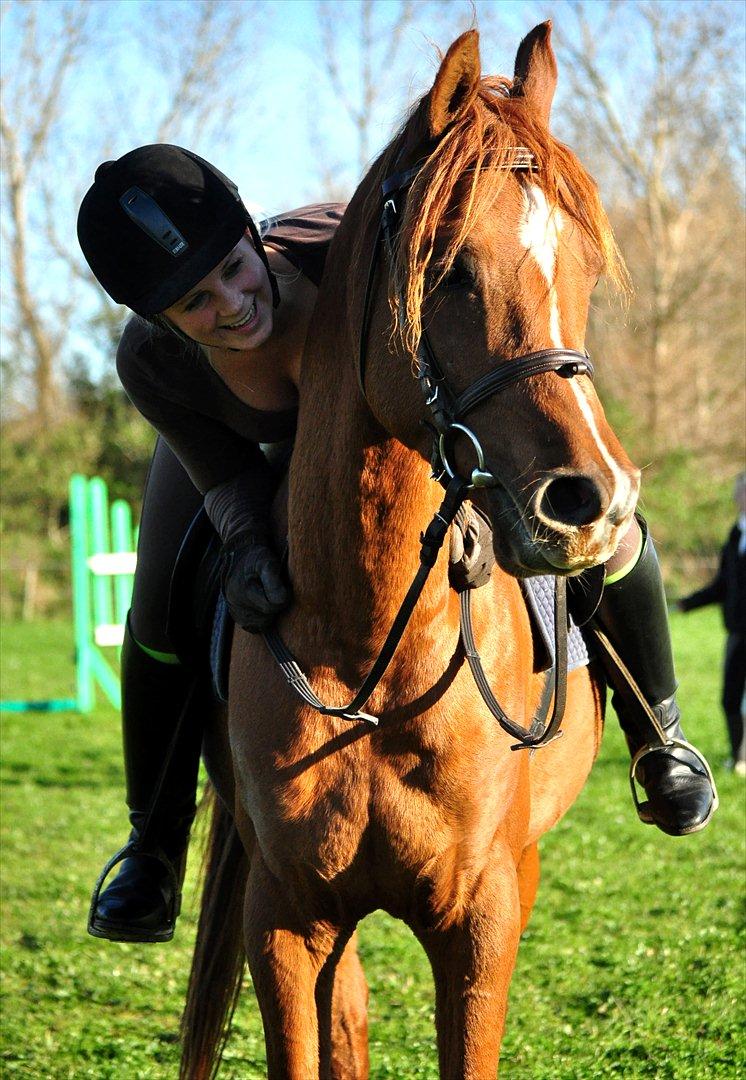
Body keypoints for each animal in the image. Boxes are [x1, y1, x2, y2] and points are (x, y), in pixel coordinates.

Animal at [181, 19, 643, 1080]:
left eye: (584, 269)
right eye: (450, 268)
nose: (593, 503)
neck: (372, 655)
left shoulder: (484, 921)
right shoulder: (286, 921)